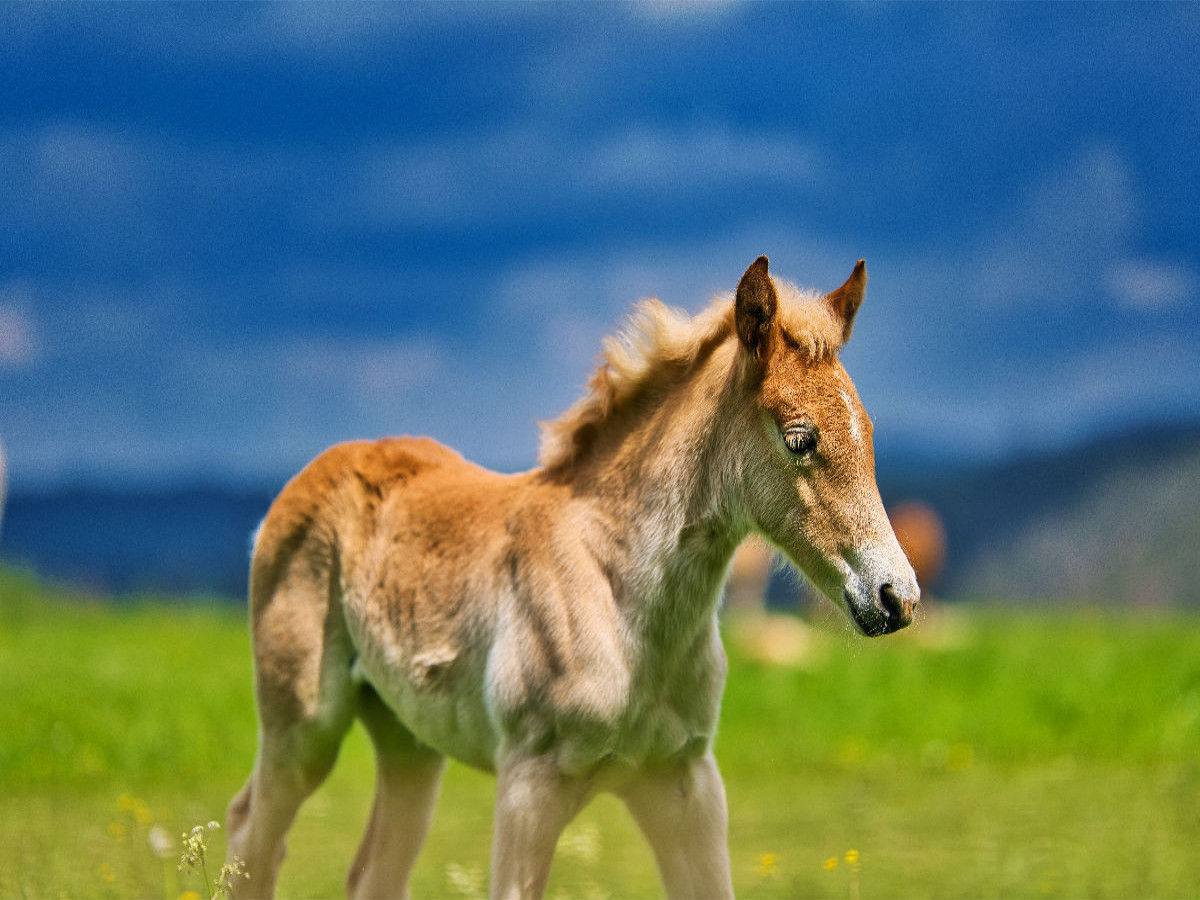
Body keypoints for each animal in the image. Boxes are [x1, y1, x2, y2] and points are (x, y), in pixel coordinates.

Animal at [225, 255, 916, 900]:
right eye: (800, 438)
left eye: (867, 431)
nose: (897, 598)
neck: (617, 597)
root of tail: (317, 470)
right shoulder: (528, 789)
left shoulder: (686, 784)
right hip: (302, 729)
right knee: (250, 835)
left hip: (409, 742)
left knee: (371, 870)